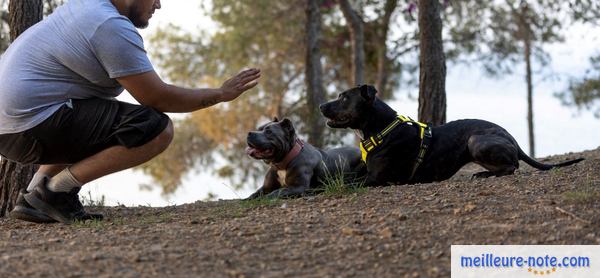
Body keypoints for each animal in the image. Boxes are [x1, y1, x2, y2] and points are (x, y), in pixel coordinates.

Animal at [322, 83, 584, 186]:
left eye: (344, 98)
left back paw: (484, 175)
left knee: (512, 167)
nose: (321, 105)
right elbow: (343, 178)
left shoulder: (377, 178)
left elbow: (345, 184)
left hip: (475, 139)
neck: (381, 129)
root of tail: (511, 137)